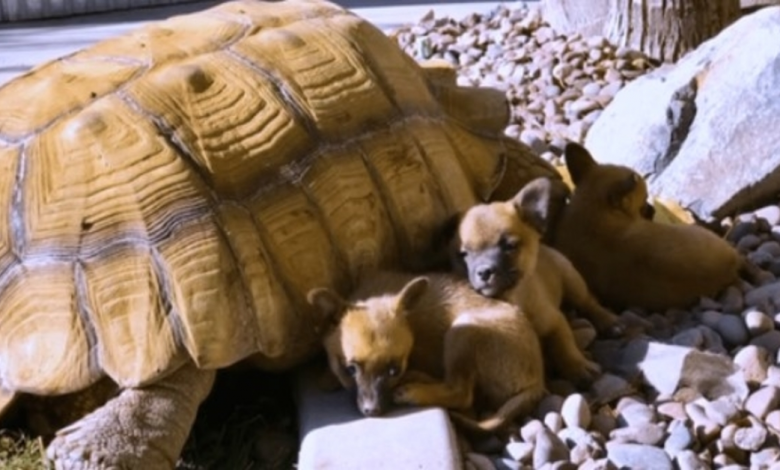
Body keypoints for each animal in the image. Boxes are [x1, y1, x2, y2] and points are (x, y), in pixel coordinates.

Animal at [308, 272, 544, 434]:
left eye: (394, 370)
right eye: (349, 369)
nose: (373, 411)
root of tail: (537, 382)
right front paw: (328, 377)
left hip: (463, 329)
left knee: (461, 393)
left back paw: (415, 390)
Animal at [454, 176, 620, 386]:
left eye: (510, 246)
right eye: (463, 254)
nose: (484, 271)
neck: (513, 298)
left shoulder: (555, 321)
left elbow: (564, 345)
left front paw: (578, 365)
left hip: (572, 282)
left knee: (588, 302)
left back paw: (607, 321)